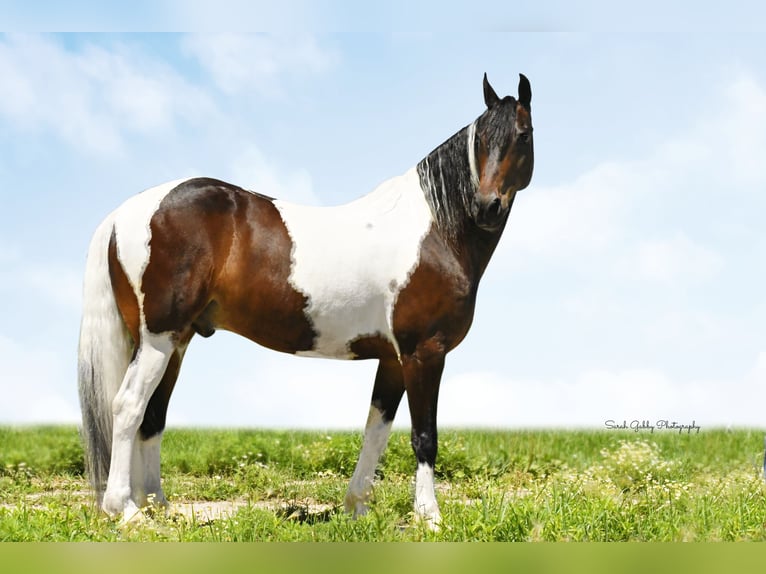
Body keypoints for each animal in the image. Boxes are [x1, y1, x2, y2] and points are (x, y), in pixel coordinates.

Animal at [78, 73, 536, 532]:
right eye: (481, 140)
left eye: (522, 134)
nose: (487, 207)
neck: (436, 231)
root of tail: (124, 212)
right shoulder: (424, 352)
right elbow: (424, 436)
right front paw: (430, 518)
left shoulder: (393, 359)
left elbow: (376, 429)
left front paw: (357, 507)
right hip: (158, 337)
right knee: (129, 407)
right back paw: (125, 509)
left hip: (176, 340)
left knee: (153, 414)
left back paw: (158, 505)